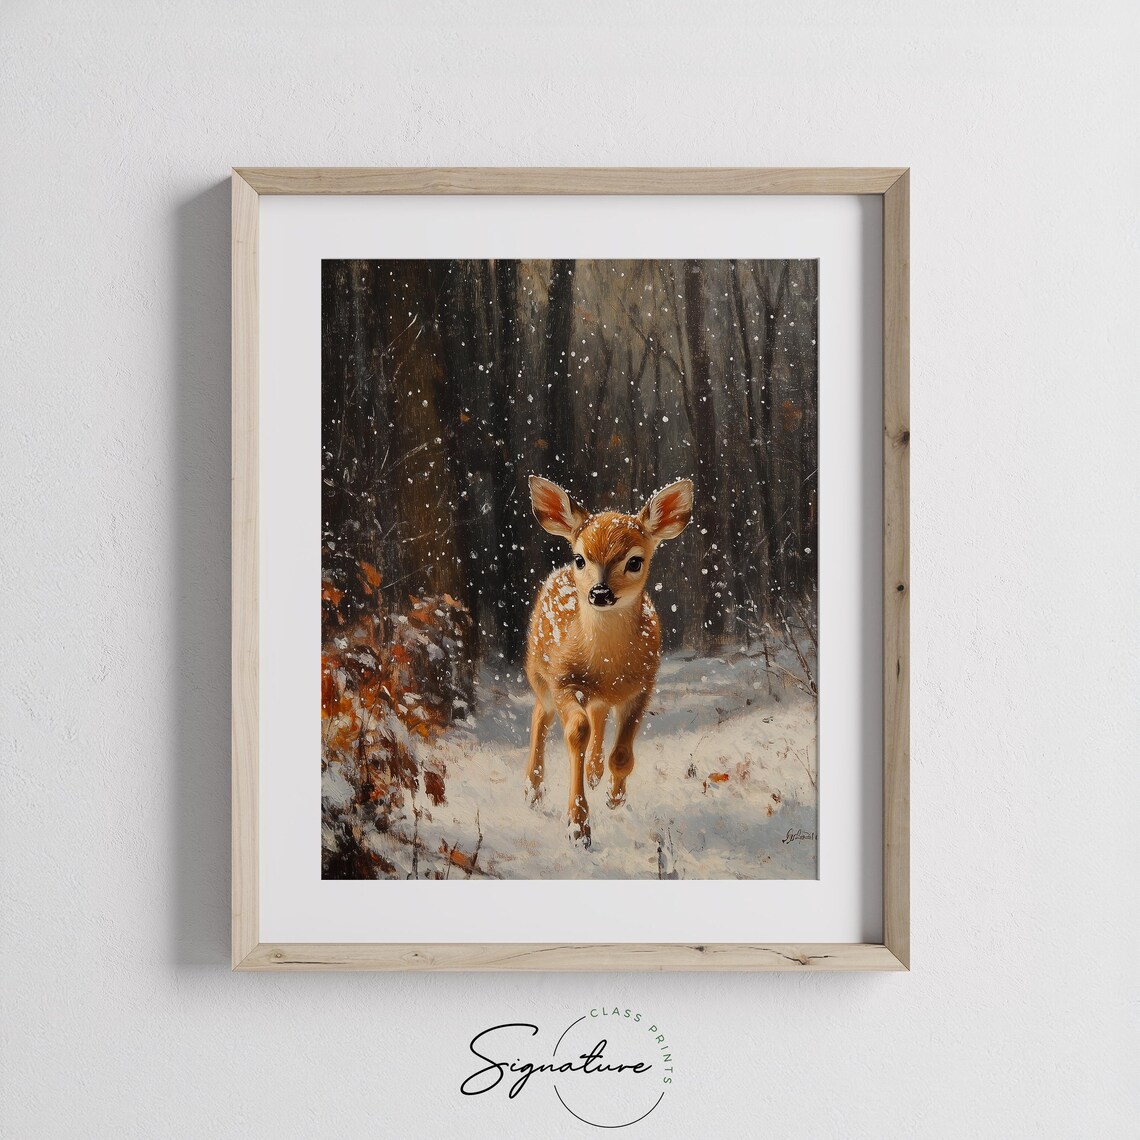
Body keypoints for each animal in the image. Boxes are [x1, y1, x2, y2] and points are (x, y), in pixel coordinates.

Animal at [524, 474, 694, 848]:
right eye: (580, 558)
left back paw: (594, 774)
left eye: (634, 561)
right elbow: (576, 731)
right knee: (541, 715)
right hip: (538, 673)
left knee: (598, 715)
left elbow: (623, 754)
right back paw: (532, 790)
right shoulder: (563, 679)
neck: (606, 664)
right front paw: (577, 827)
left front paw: (614, 797)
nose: (600, 593)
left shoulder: (644, 684)